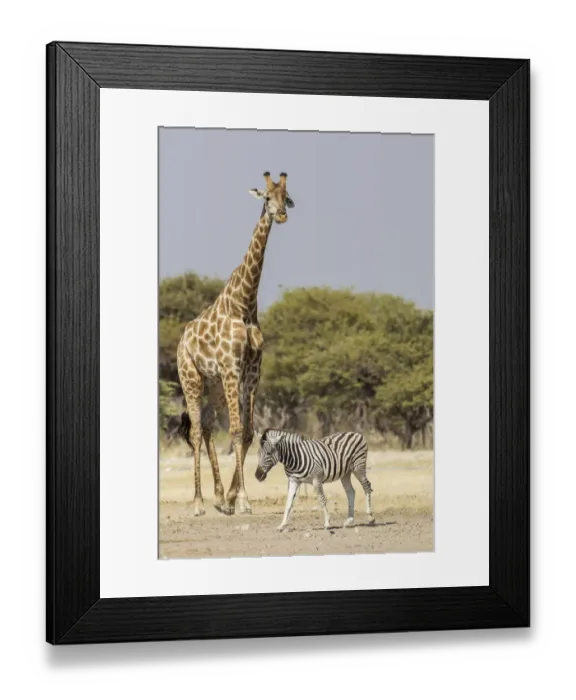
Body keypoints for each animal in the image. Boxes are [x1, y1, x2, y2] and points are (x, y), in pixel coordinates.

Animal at [177, 171, 295, 517]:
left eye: (286, 197)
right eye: (267, 198)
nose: (281, 215)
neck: (244, 304)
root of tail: (181, 340)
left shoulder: (252, 371)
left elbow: (248, 432)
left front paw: (233, 497)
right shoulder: (232, 368)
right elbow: (236, 430)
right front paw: (242, 500)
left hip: (214, 385)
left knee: (205, 426)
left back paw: (217, 497)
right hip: (191, 379)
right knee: (195, 431)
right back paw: (199, 503)